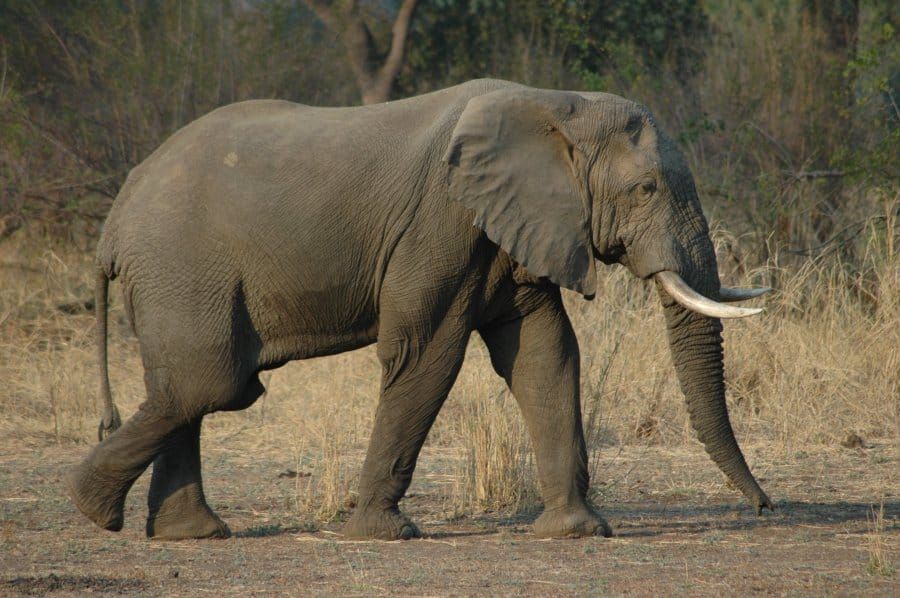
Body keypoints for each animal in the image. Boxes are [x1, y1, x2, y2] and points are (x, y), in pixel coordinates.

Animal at [67, 78, 774, 541]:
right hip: (180, 266)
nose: (764, 507)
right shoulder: (440, 221)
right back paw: (93, 509)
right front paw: (383, 534)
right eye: (646, 189)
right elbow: (426, 353)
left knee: (188, 385)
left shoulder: (509, 227)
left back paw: (190, 534)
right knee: (208, 381)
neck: (556, 104)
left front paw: (576, 532)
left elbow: (545, 354)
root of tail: (112, 224)